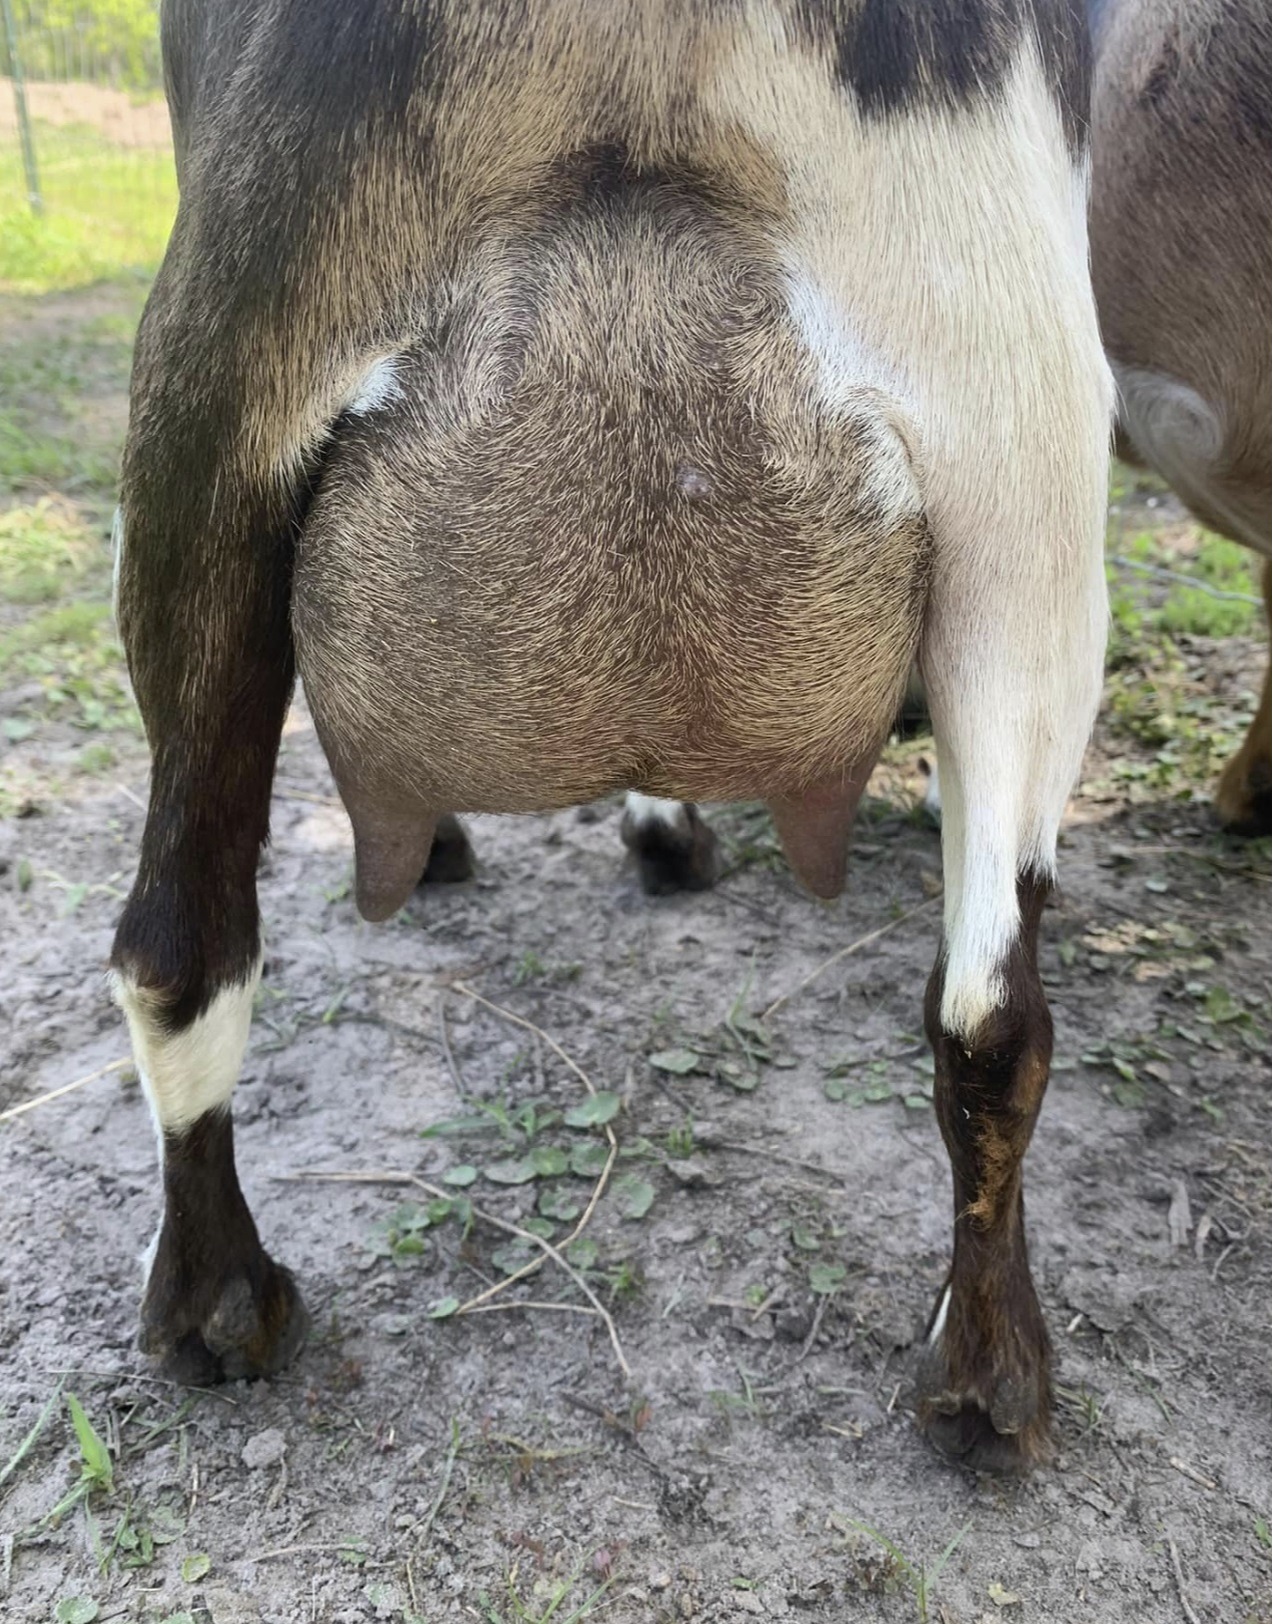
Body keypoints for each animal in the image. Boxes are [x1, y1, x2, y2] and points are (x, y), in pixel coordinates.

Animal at [111, 0, 1112, 1471]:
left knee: (178, 944)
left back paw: (215, 1306)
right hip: (1022, 488)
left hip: (207, 437)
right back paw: (988, 1379)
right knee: (994, 1014)